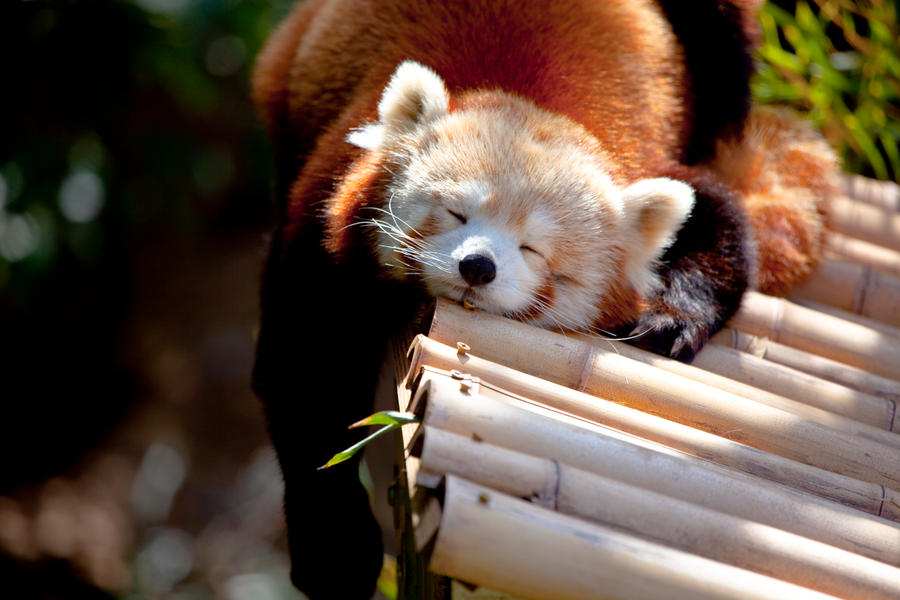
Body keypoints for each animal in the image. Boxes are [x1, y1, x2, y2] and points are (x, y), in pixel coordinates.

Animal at [251, 1, 838, 597]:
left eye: (531, 249)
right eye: (456, 213)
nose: (478, 266)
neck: (536, 102)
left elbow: (719, 219)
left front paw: (672, 317)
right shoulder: (326, 207)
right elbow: (307, 372)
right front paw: (335, 548)